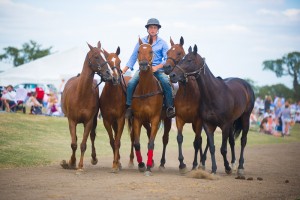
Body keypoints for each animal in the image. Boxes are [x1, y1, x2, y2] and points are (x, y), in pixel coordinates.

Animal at [61, 41, 112, 171]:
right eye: (96, 56)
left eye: (105, 56)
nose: (108, 74)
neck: (81, 94)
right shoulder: (72, 121)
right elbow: (74, 143)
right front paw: (71, 162)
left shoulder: (89, 121)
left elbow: (83, 144)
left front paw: (79, 165)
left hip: (94, 121)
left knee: (92, 136)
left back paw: (93, 158)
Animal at [164, 36, 204, 173]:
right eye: (167, 52)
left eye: (179, 53)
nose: (166, 68)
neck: (188, 93)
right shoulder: (179, 119)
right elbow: (180, 138)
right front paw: (181, 164)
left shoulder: (198, 121)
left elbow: (197, 141)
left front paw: (195, 164)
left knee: (200, 140)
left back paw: (201, 163)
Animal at [168, 45, 254, 175]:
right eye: (182, 59)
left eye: (189, 60)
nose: (172, 75)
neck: (214, 94)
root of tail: (245, 84)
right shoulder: (208, 124)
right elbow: (212, 147)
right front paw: (213, 169)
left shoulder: (224, 125)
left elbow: (222, 149)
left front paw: (227, 167)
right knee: (231, 141)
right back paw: (232, 164)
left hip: (245, 118)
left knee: (243, 140)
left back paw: (239, 167)